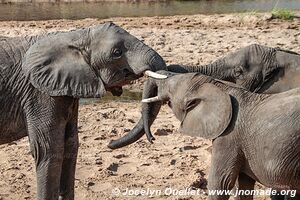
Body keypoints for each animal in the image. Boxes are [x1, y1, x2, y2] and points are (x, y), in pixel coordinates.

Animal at [0, 22, 166, 199]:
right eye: (117, 53)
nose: (110, 144)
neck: (73, 36)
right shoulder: (39, 93)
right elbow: (48, 150)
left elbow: (71, 145)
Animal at [141, 72, 300, 200]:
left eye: (171, 89)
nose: (152, 139)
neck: (220, 86)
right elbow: (243, 185)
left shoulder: (229, 137)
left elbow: (221, 183)